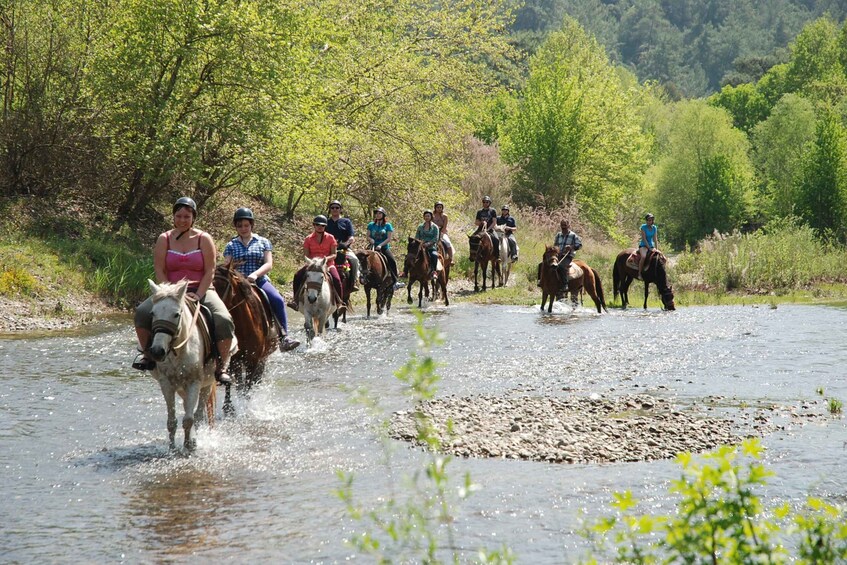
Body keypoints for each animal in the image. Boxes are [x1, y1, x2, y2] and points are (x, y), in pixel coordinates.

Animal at [149, 280, 222, 452]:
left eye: (176, 314)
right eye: (153, 313)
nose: (157, 351)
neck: (179, 350)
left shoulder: (194, 383)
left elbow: (189, 419)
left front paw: (188, 445)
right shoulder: (166, 383)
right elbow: (171, 421)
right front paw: (172, 448)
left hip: (206, 384)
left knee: (199, 414)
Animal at [214, 260, 280, 410]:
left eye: (224, 285)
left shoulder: (253, 360)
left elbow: (247, 387)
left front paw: (246, 408)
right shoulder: (234, 360)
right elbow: (234, 385)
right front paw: (229, 408)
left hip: (263, 358)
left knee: (256, 381)